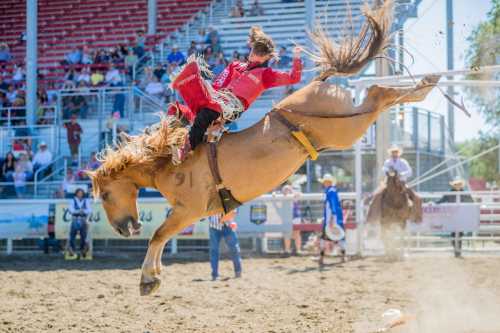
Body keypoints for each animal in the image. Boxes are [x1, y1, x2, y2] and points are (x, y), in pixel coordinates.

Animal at [88, 1, 440, 294]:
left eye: (104, 195)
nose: (123, 229)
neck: (166, 162)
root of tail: (320, 81)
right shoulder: (187, 212)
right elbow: (161, 236)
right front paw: (154, 276)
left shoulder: (190, 210)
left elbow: (158, 234)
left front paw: (148, 279)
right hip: (348, 124)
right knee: (377, 94)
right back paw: (424, 86)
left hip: (345, 128)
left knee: (379, 92)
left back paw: (424, 86)